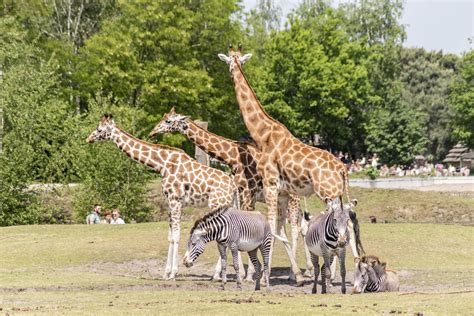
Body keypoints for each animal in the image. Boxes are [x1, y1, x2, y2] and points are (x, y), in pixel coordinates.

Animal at [86, 113, 236, 278]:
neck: (161, 164)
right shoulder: (170, 202)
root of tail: (233, 186)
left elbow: (176, 236)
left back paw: (217, 274)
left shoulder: (175, 200)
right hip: (228, 204)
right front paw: (166, 272)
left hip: (216, 203)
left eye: (99, 129)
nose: (88, 138)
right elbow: (170, 236)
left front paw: (173, 273)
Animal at [148, 107, 312, 282]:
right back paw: (297, 271)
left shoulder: (248, 193)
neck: (232, 157)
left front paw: (248, 274)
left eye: (168, 121)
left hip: (292, 199)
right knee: (287, 228)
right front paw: (233, 272)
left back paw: (294, 273)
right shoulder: (240, 193)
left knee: (295, 229)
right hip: (282, 199)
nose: (152, 132)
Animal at [218, 45, 362, 276]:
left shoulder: (270, 184)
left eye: (231, 61)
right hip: (336, 192)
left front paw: (265, 273)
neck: (264, 133)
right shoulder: (283, 192)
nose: (231, 71)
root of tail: (342, 167)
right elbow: (279, 229)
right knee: (345, 221)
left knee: (342, 222)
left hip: (328, 192)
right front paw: (295, 273)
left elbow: (271, 226)